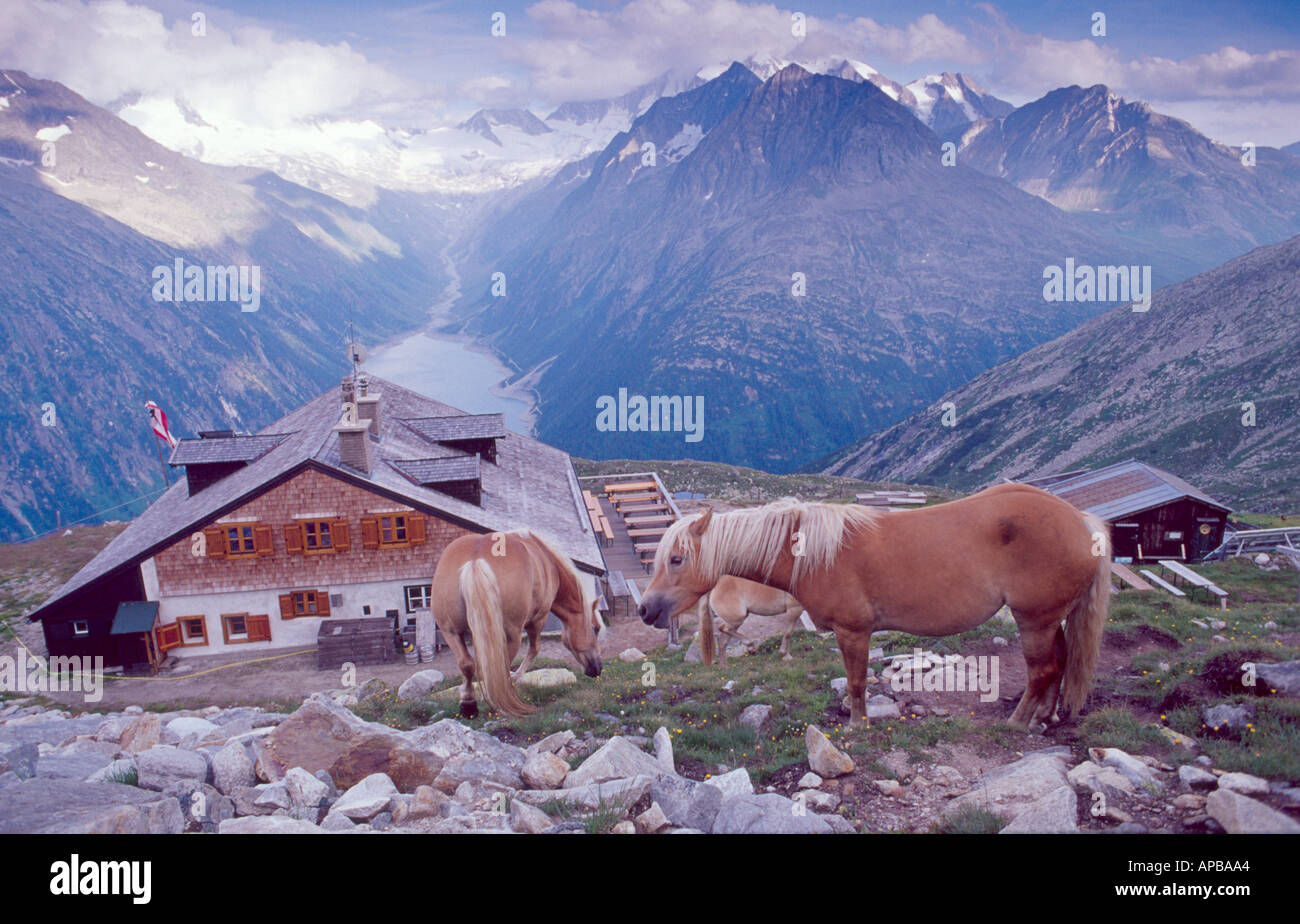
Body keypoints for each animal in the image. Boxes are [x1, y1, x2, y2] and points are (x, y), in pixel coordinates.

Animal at [431, 527, 603, 717]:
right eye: (596, 628)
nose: (598, 668)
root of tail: (476, 559)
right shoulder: (538, 619)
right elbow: (534, 649)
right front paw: (517, 678)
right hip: (511, 635)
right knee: (501, 667)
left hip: (450, 632)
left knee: (466, 663)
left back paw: (469, 704)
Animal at [639, 488, 1107, 732]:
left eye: (676, 559)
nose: (646, 611)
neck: (813, 552)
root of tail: (1082, 521)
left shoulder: (854, 631)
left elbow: (857, 681)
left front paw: (855, 724)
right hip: (1050, 619)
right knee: (1060, 662)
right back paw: (1046, 715)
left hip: (1034, 621)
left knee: (1042, 670)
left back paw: (1017, 721)